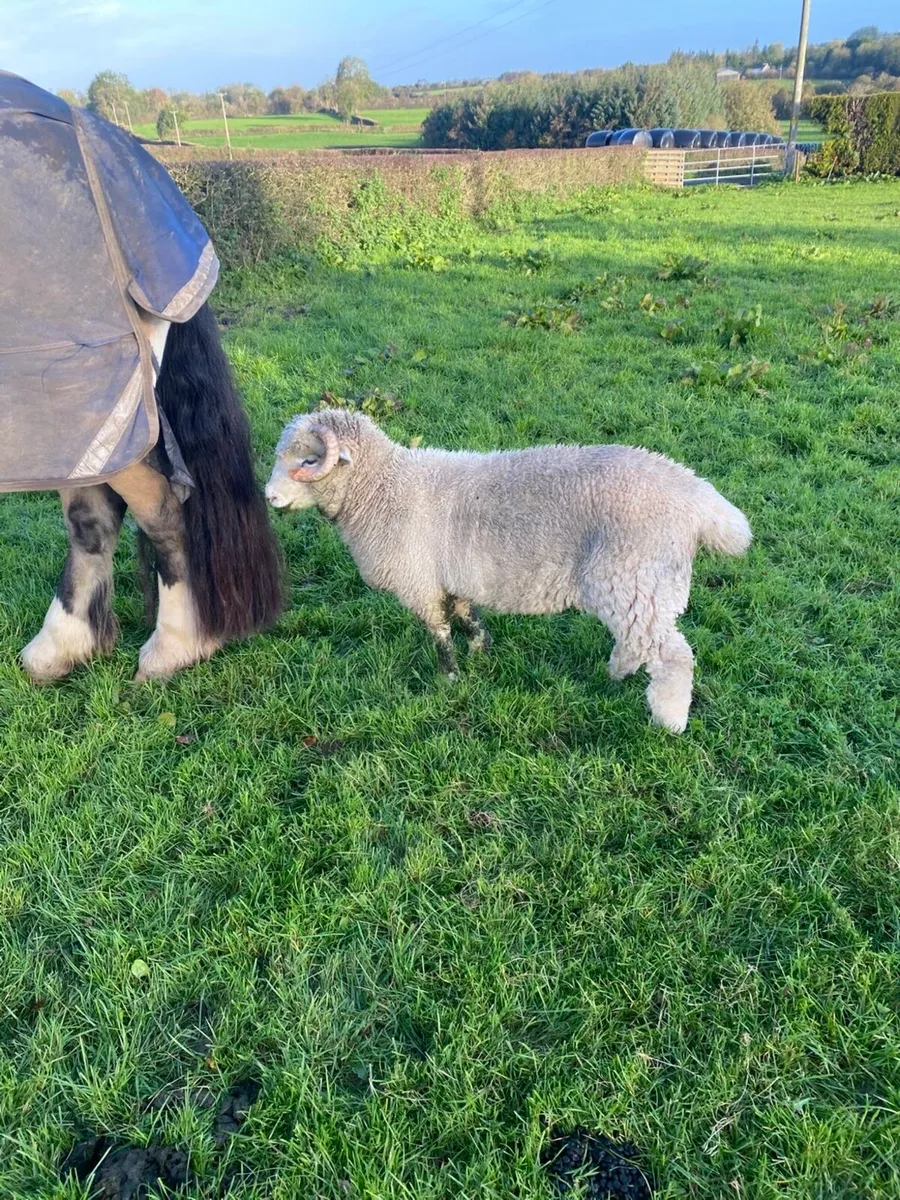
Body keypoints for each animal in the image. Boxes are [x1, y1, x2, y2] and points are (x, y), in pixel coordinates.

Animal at [266, 408, 752, 733]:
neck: (384, 488)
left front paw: (449, 678)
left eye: (308, 461)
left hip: (636, 578)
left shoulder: (419, 582)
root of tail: (701, 502)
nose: (268, 497)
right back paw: (615, 673)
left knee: (672, 655)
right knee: (639, 644)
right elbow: (466, 616)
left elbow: (439, 631)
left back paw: (668, 720)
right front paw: (482, 652)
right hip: (640, 584)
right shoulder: (451, 576)